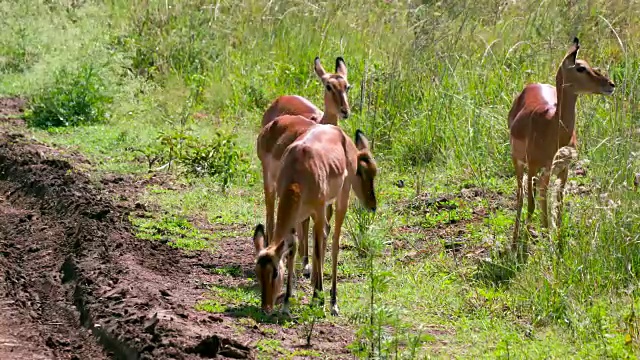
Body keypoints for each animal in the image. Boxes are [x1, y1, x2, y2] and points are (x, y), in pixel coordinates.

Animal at [252, 124, 378, 316]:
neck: (298, 172)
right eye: (257, 272)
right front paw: (286, 303)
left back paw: (333, 303)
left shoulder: (318, 210)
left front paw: (318, 299)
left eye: (275, 273)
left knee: (334, 242)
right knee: (325, 233)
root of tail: (339, 131)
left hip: (341, 198)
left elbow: (317, 250)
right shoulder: (296, 215)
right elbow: (292, 248)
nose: (266, 308)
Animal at [258, 56, 350, 278]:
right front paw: (306, 263)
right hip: (269, 181)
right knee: (270, 211)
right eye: (328, 86)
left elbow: (323, 224)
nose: (345, 111)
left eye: (347, 86)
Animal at [510, 38, 616, 243]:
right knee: (521, 195)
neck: (551, 126)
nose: (611, 84)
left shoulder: (563, 170)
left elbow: (558, 206)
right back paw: (517, 238)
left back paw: (544, 231)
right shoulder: (532, 166)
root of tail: (533, 85)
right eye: (580, 67)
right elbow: (530, 204)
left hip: (546, 171)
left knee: (542, 193)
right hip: (519, 163)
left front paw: (557, 240)